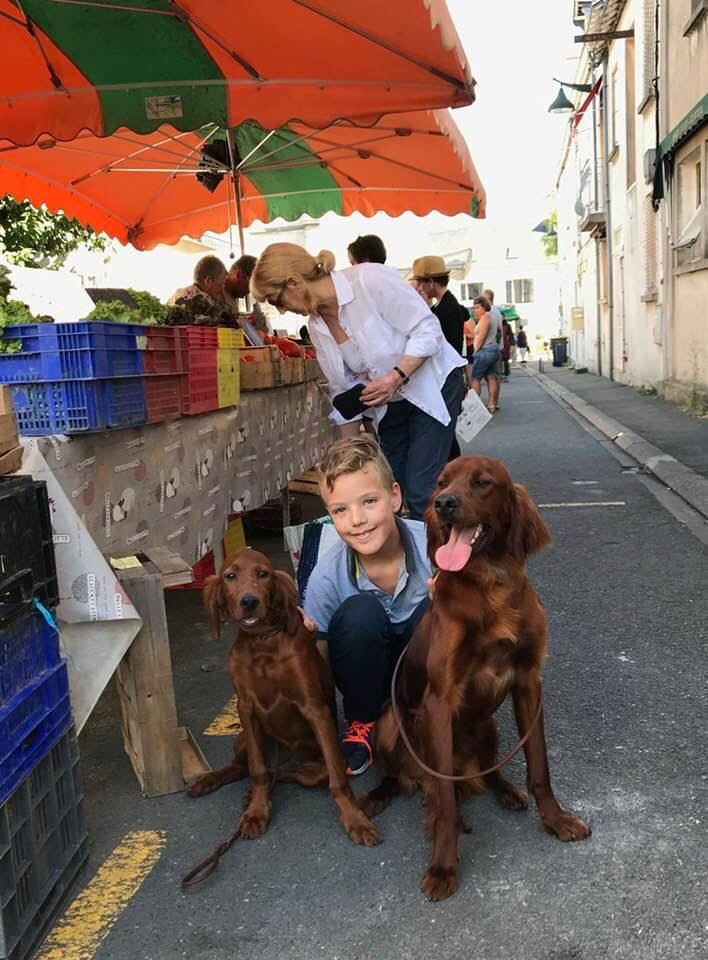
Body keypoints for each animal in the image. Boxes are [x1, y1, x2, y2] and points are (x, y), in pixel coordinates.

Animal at [185, 548, 378, 848]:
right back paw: (212, 782)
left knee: (286, 774)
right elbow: (257, 770)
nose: (249, 601)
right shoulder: (246, 709)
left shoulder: (315, 709)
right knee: (245, 767)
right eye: (230, 576)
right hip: (244, 738)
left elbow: (337, 780)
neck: (263, 642)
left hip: (312, 766)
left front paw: (355, 819)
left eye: (263, 574)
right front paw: (257, 812)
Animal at [362, 458, 588, 900]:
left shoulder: (528, 681)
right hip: (390, 723)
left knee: (486, 772)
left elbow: (539, 765)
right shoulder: (439, 699)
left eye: (482, 483)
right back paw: (382, 797)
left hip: (486, 727)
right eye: (441, 482)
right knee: (412, 781)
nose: (443, 504)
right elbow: (445, 801)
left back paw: (507, 791)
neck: (490, 583)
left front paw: (555, 820)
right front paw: (443, 867)